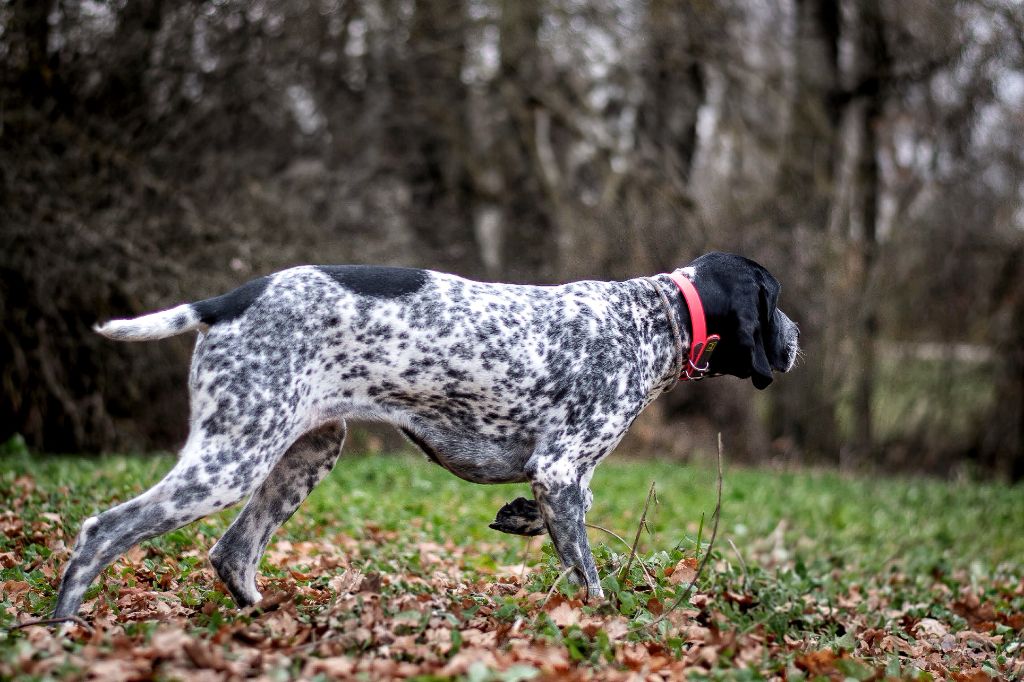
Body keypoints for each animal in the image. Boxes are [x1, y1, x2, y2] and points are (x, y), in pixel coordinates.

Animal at [49, 250, 798, 614]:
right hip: (231, 459)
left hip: (303, 455)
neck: (655, 316)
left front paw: (517, 516)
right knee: (101, 533)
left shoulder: (560, 478)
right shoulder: (561, 468)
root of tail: (230, 298)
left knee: (232, 554)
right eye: (775, 302)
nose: (797, 341)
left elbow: (553, 519)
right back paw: (62, 629)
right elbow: (587, 576)